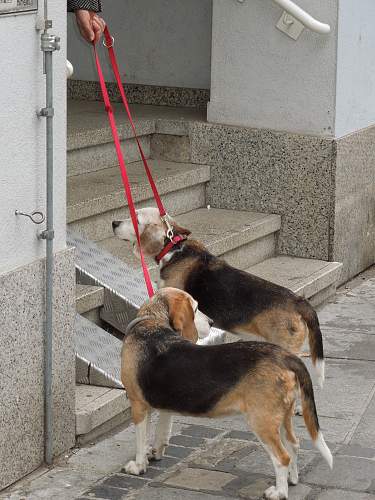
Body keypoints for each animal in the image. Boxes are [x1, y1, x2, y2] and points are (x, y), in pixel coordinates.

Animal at [122, 286, 334, 500]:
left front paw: (138, 466)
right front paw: (156, 453)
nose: (211, 322)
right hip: (283, 416)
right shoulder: (164, 406)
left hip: (261, 422)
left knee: (282, 457)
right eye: (196, 308)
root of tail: (285, 356)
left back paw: (279, 492)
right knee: (294, 444)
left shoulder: (138, 406)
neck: (152, 322)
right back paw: (292, 480)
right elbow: (161, 432)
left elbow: (141, 441)